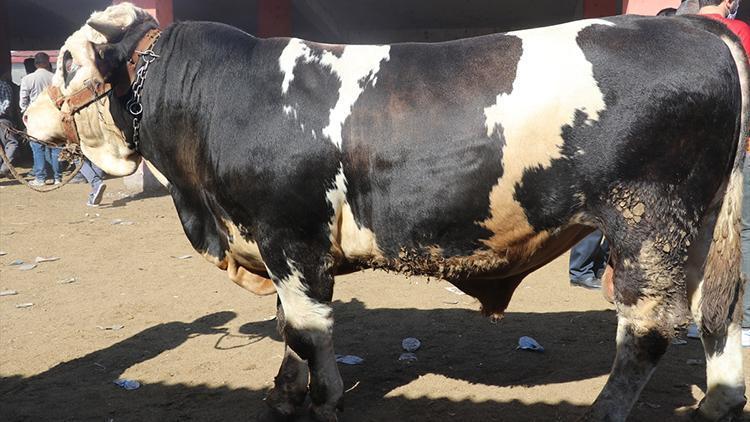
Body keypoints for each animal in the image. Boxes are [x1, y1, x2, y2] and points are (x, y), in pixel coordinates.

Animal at [25, 2, 750, 418]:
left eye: (66, 60)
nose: (25, 116)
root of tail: (694, 24)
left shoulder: (291, 235)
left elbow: (308, 328)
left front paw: (320, 400)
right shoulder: (277, 244)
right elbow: (289, 325)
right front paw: (283, 394)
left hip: (649, 223)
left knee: (648, 332)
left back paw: (603, 412)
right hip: (704, 228)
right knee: (719, 316)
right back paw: (716, 405)